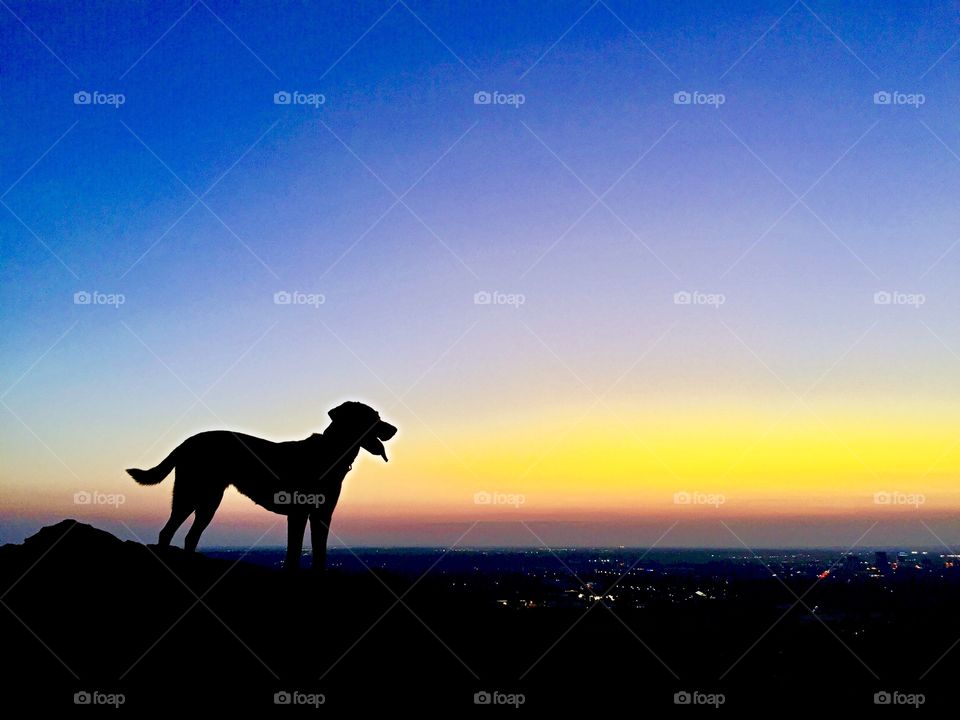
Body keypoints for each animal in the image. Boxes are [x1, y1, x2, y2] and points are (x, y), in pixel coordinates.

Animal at [127, 402, 398, 572]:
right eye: (372, 418)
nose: (394, 429)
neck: (330, 452)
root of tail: (187, 441)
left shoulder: (323, 515)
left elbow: (319, 551)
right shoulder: (298, 514)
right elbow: (294, 551)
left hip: (209, 500)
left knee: (190, 536)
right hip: (190, 493)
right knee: (167, 532)